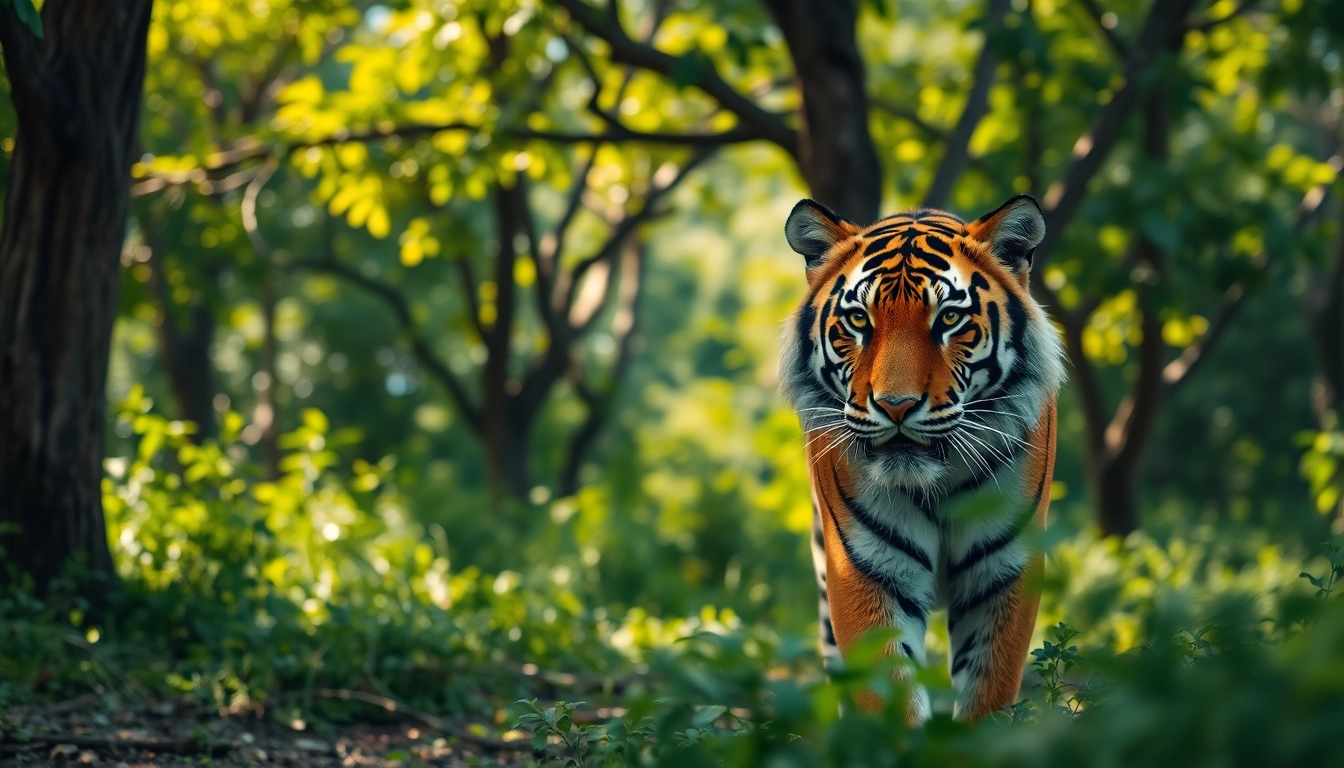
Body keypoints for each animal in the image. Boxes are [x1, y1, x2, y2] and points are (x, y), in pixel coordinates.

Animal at [779, 194, 1066, 722]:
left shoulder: (1003, 575)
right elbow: (887, 698)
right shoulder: (866, 571)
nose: (896, 405)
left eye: (949, 320)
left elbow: (986, 698)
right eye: (859, 321)